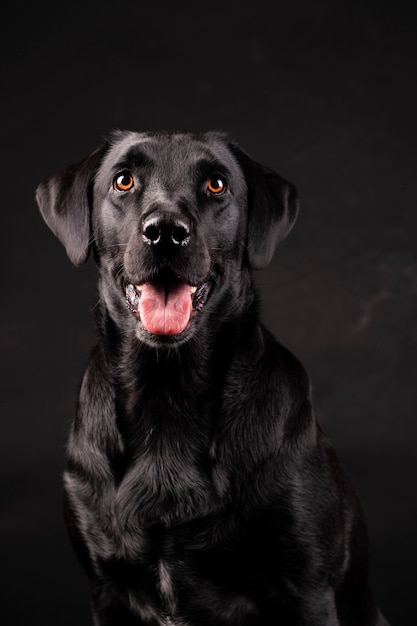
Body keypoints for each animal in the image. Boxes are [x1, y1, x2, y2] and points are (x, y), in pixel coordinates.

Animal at [35, 129, 386, 620]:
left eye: (216, 185)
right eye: (123, 180)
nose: (165, 233)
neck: (167, 394)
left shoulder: (309, 591)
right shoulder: (106, 589)